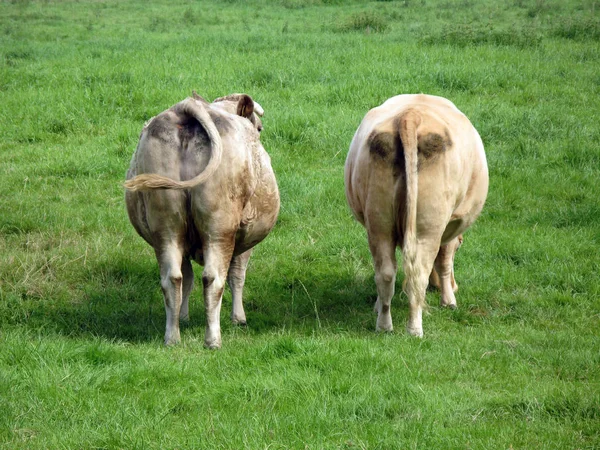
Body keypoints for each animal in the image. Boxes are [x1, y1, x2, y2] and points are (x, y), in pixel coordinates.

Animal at [125, 93, 280, 350]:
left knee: (172, 278)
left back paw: (172, 337)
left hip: (166, 227)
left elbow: (187, 279)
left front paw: (184, 317)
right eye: (259, 128)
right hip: (219, 229)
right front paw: (239, 318)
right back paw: (213, 340)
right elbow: (237, 275)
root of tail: (187, 107)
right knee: (213, 279)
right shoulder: (244, 236)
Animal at [344, 93, 490, 336]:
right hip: (428, 226)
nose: (453, 287)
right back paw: (414, 330)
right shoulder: (450, 225)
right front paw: (449, 300)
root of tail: (410, 115)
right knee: (418, 273)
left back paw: (384, 325)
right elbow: (444, 260)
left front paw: (376, 306)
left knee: (385, 272)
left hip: (379, 223)